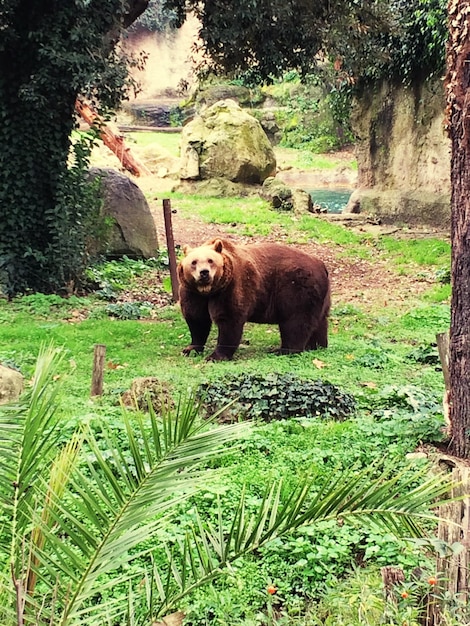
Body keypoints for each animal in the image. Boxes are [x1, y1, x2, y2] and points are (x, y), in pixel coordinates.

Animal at [177, 236, 330, 358]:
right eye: (194, 262)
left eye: (210, 260)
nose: (204, 273)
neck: (209, 291)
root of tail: (321, 264)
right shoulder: (192, 292)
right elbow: (197, 319)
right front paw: (190, 348)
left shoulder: (232, 287)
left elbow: (229, 320)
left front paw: (216, 355)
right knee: (319, 321)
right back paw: (316, 345)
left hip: (297, 287)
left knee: (295, 321)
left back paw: (283, 350)